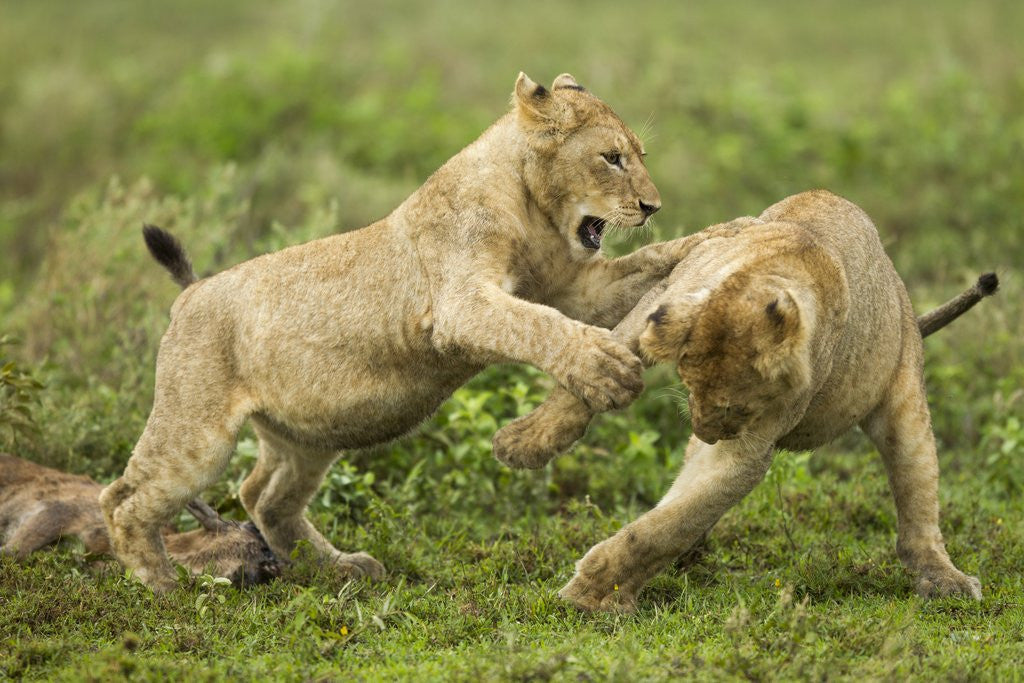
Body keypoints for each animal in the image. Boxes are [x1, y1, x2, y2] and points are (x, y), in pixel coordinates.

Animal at [99, 72, 727, 592]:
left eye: (639, 155)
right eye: (611, 158)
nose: (652, 206)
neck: (534, 214)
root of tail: (190, 294)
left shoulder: (575, 289)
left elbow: (644, 263)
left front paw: (714, 237)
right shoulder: (463, 305)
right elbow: (538, 326)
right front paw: (604, 370)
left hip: (308, 434)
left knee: (263, 495)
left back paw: (335, 567)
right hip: (197, 432)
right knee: (123, 498)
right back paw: (165, 586)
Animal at [494, 190, 997, 611]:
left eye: (736, 407)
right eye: (688, 385)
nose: (704, 433)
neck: (766, 280)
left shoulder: (750, 447)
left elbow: (670, 523)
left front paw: (590, 594)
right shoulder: (657, 303)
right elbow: (584, 384)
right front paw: (521, 444)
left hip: (905, 396)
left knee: (917, 502)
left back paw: (945, 579)